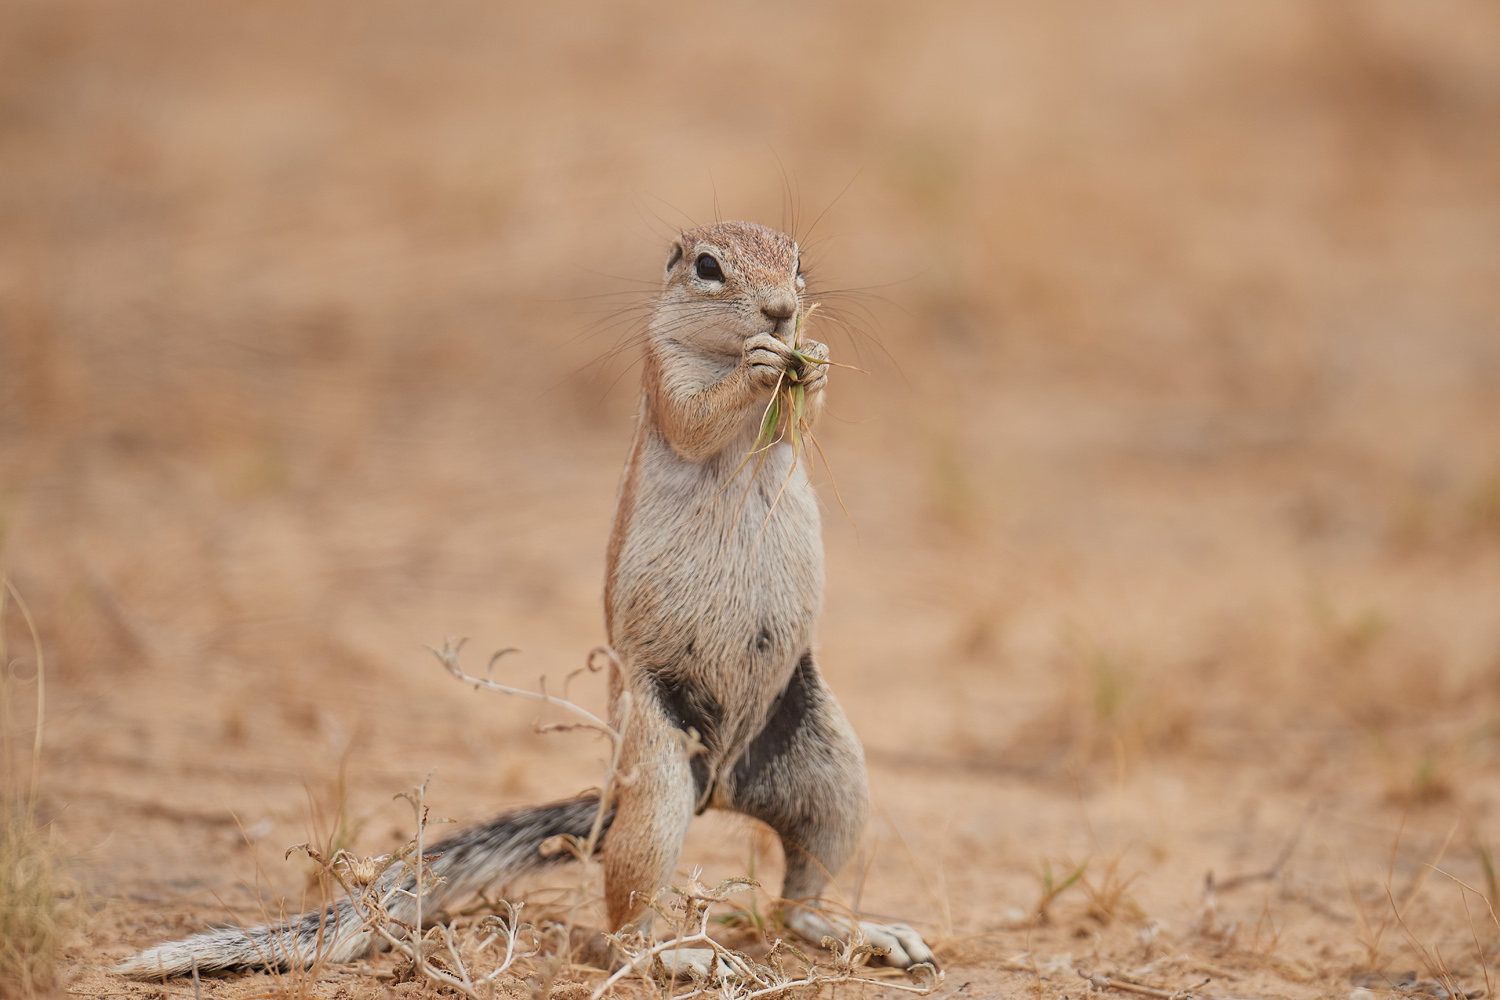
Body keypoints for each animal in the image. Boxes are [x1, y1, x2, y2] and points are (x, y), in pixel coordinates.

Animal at [120, 223, 936, 983]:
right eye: (708, 267)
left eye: (798, 263)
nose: (782, 312)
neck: (723, 348)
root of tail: (720, 786)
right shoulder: (662, 375)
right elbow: (695, 418)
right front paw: (764, 366)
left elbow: (805, 420)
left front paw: (814, 358)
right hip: (659, 775)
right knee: (623, 920)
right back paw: (677, 956)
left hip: (831, 771)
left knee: (799, 896)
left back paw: (865, 932)